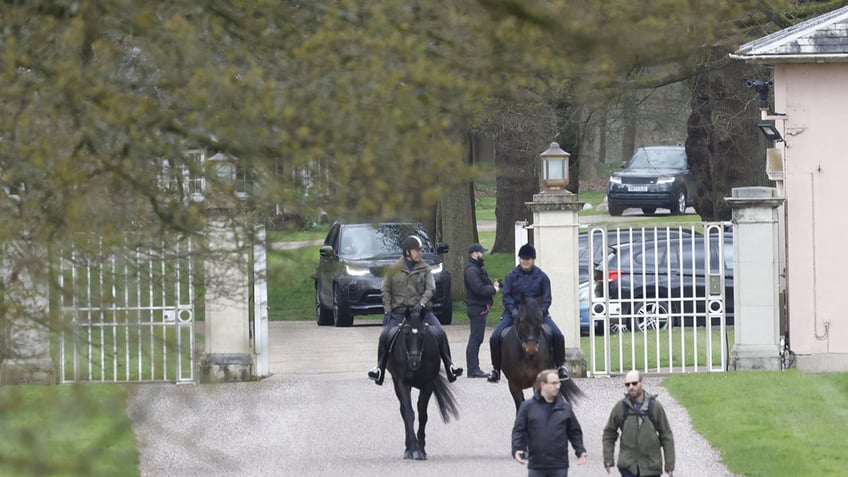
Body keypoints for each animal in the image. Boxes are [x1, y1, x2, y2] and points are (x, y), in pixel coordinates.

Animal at [388, 306, 460, 460]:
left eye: (422, 334)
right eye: (406, 333)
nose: (413, 363)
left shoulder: (428, 385)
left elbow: (422, 414)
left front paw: (421, 448)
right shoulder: (403, 383)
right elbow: (409, 413)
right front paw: (414, 449)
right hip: (396, 384)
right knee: (403, 411)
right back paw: (407, 448)